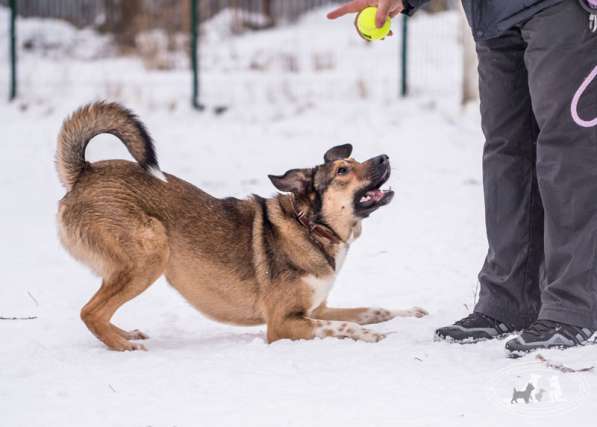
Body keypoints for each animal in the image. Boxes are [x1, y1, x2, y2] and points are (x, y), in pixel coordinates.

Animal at [56, 103, 428, 352]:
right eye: (342, 171)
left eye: (353, 161)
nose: (384, 158)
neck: (311, 226)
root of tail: (84, 173)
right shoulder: (283, 323)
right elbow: (343, 325)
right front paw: (369, 335)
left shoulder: (315, 309)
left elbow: (373, 310)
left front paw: (409, 311)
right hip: (152, 249)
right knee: (90, 312)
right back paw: (123, 345)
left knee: (98, 310)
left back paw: (124, 335)